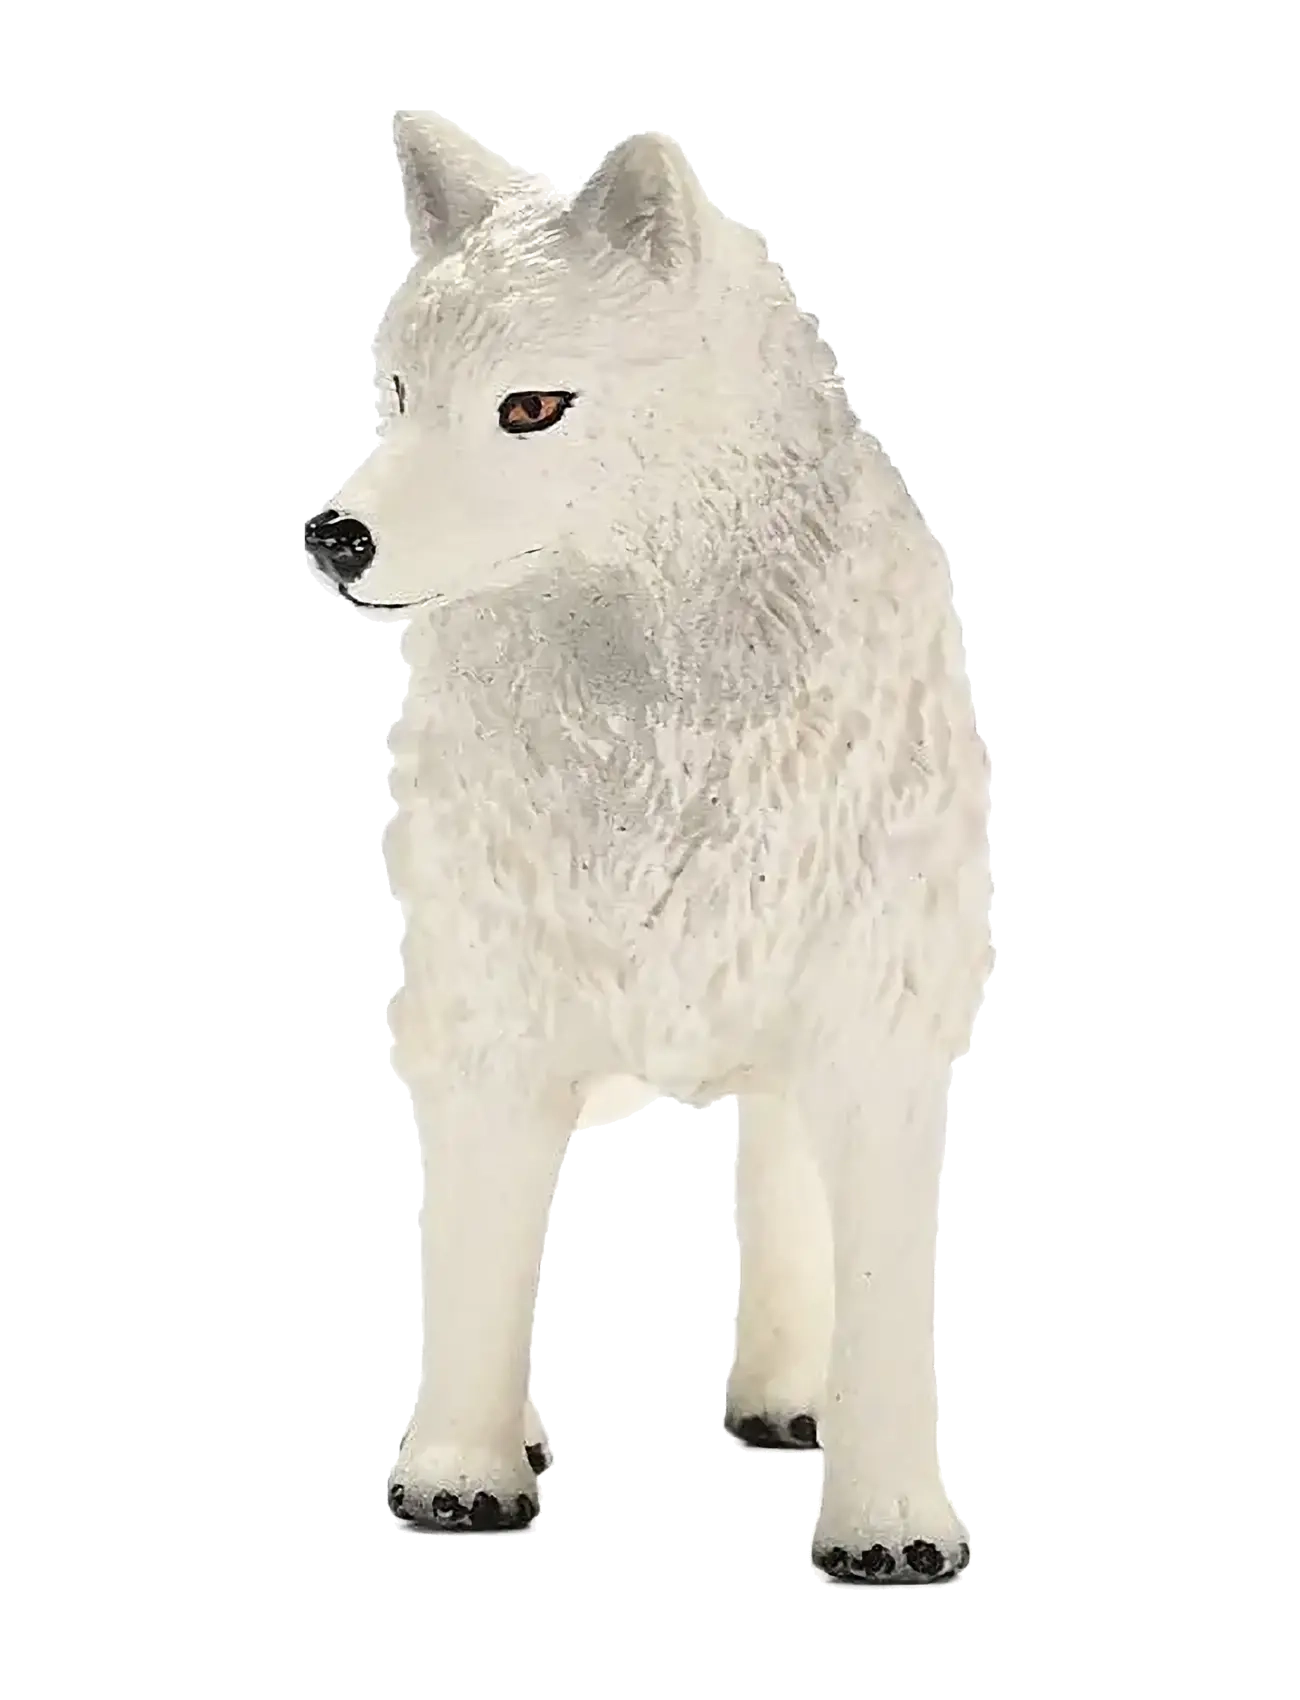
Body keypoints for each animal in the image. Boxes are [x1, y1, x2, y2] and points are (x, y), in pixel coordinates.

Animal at [304, 108, 993, 1583]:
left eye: (531, 407)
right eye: (398, 394)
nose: (339, 537)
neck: (654, 731)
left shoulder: (879, 1035)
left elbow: (883, 1303)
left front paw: (891, 1522)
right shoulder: (485, 1029)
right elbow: (477, 1263)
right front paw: (459, 1477)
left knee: (782, 1179)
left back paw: (788, 1399)